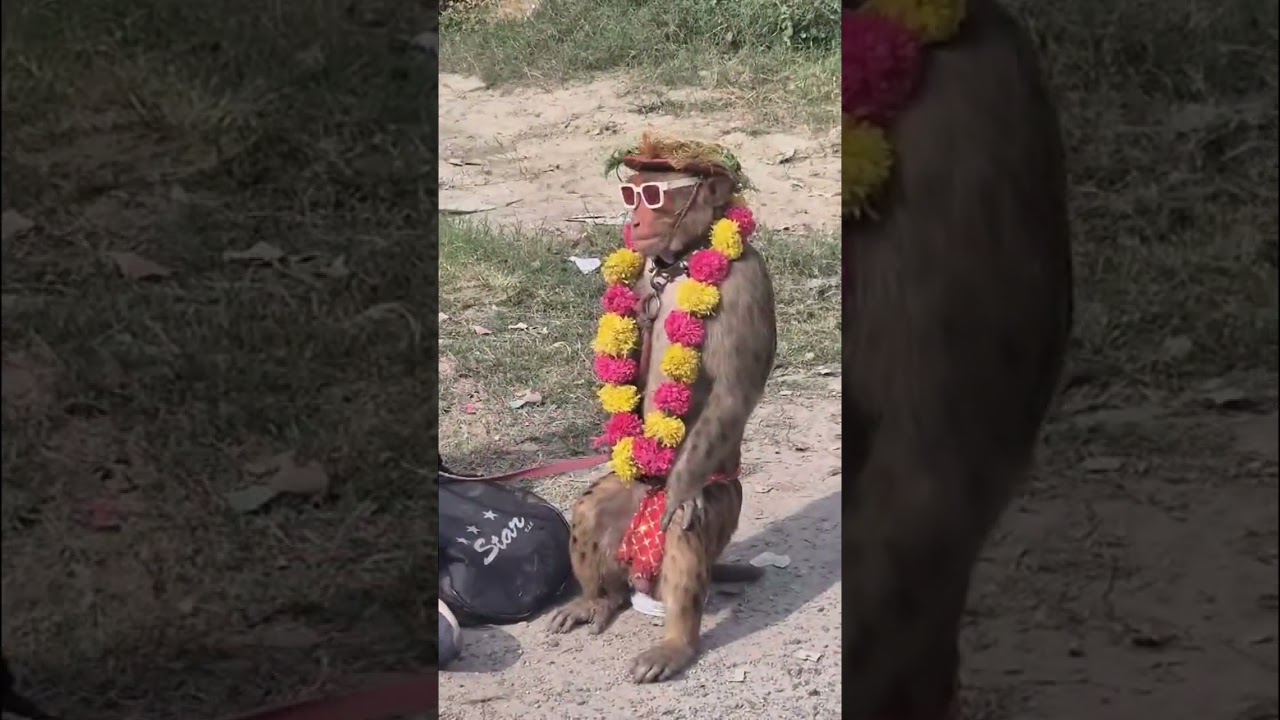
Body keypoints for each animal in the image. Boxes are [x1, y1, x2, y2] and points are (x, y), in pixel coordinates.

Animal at [546, 136, 777, 684]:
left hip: (720, 504)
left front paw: (682, 487)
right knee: (590, 512)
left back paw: (676, 643)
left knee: (685, 530)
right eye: (631, 192)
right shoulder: (643, 280)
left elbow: (732, 390)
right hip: (626, 498)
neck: (685, 262)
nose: (633, 217)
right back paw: (597, 600)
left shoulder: (746, 281)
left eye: (653, 196)